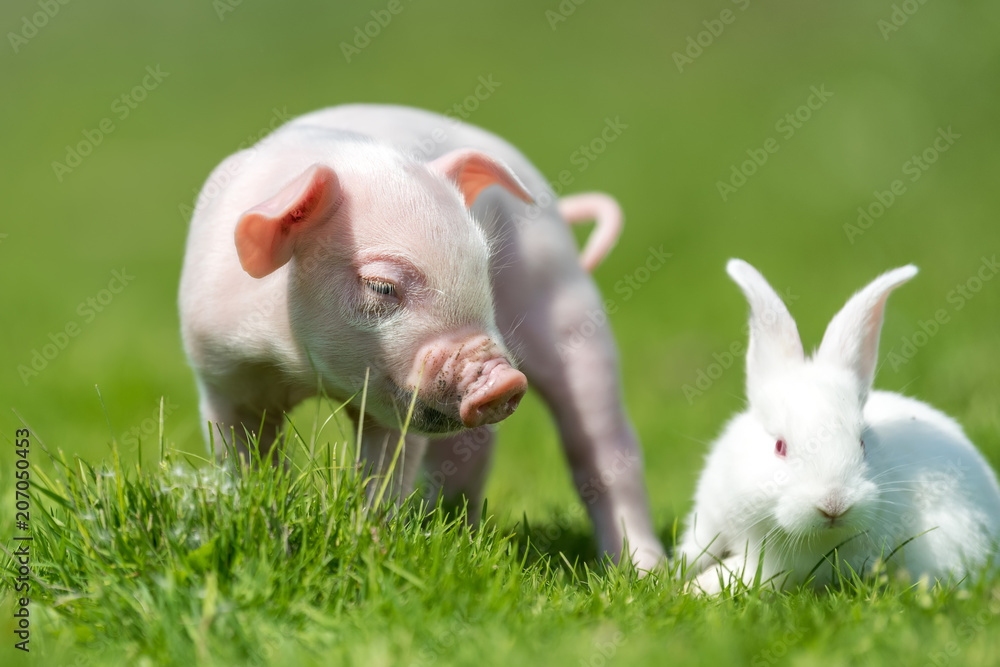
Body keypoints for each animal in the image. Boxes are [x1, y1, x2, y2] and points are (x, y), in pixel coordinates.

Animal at [676, 258, 1000, 592]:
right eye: (779, 446)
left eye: (862, 443)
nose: (834, 504)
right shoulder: (709, 515)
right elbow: (696, 548)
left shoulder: (777, 565)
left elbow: (742, 573)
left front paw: (694, 589)